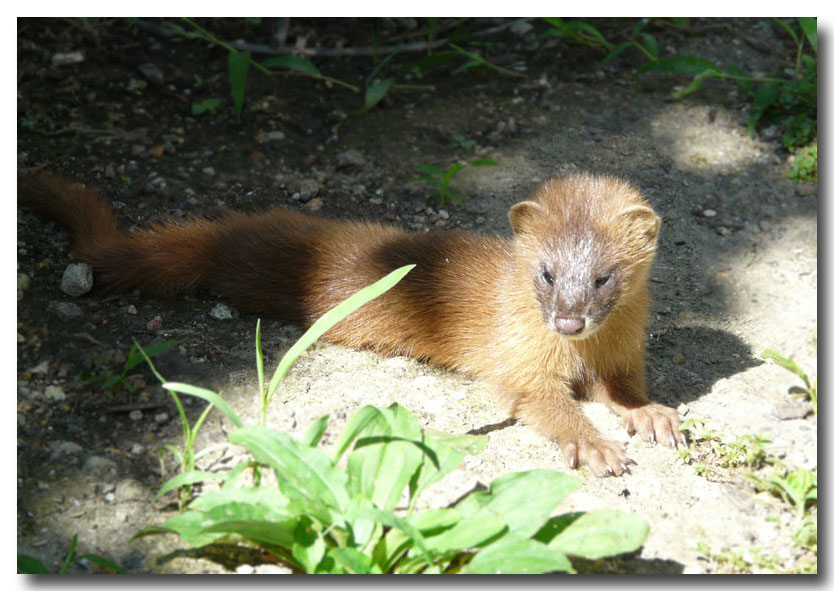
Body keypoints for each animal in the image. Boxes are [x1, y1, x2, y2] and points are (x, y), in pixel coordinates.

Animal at [19, 170, 680, 476]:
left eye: (604, 277)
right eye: (545, 272)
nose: (568, 321)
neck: (585, 353)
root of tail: (229, 231)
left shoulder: (624, 355)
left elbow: (624, 391)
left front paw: (652, 416)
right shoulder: (517, 359)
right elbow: (542, 403)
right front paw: (595, 445)